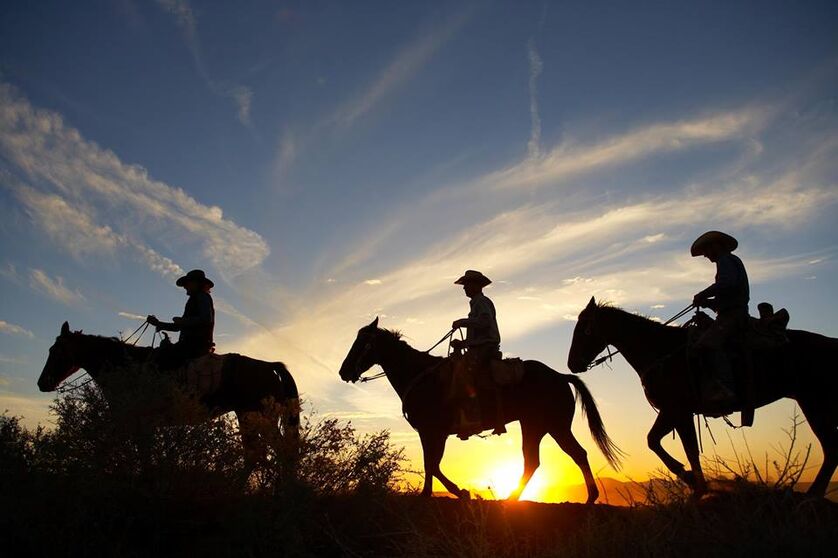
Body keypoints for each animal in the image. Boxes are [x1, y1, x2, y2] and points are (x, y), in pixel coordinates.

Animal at [40, 322, 302, 470]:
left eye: (55, 350)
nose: (42, 383)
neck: (126, 367)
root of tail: (269, 366)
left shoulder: (134, 421)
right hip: (248, 417)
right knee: (257, 455)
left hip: (258, 417)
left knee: (279, 452)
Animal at [336, 318, 624, 506]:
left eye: (362, 342)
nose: (343, 371)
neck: (420, 375)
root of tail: (560, 376)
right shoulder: (430, 433)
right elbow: (431, 464)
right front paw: (434, 494)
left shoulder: (434, 432)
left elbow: (433, 464)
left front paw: (456, 492)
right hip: (540, 427)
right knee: (545, 459)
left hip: (550, 426)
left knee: (567, 455)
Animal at [564, 298, 838, 498]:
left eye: (584, 331)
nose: (572, 364)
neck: (661, 350)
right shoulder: (673, 413)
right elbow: (659, 442)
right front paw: (694, 483)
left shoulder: (678, 411)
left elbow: (683, 449)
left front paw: (695, 485)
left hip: (815, 402)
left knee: (831, 449)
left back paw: (811, 496)